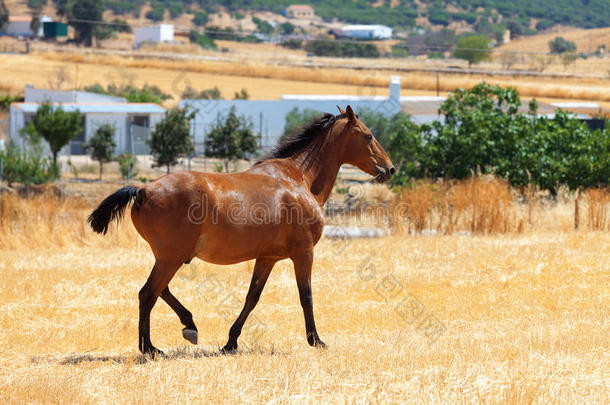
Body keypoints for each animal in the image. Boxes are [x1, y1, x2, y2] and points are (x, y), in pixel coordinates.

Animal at [89, 105, 394, 356]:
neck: (298, 179)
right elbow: (305, 296)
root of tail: (143, 189)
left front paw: (231, 342)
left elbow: (252, 298)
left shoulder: (268, 258)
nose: (389, 169)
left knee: (159, 290)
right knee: (148, 294)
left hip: (168, 257)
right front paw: (316, 340)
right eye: (368, 136)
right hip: (171, 258)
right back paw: (151, 347)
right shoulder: (303, 253)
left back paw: (188, 325)